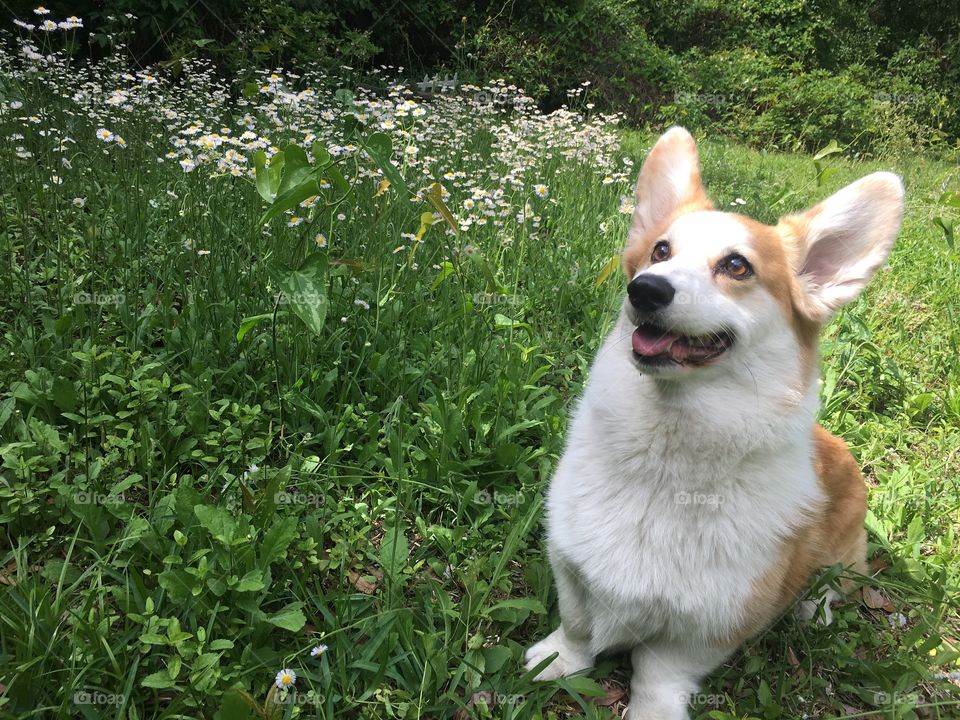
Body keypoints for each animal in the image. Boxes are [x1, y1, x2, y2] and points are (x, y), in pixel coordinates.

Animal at [528, 128, 904, 720]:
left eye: (736, 266)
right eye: (660, 250)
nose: (646, 289)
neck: (668, 454)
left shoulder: (711, 625)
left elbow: (658, 672)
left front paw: (651, 711)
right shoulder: (571, 567)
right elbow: (578, 626)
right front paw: (557, 661)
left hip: (842, 553)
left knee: (835, 582)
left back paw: (814, 609)